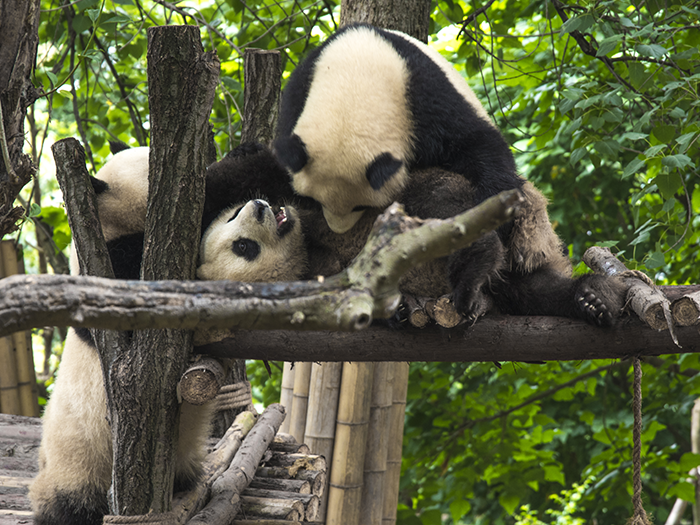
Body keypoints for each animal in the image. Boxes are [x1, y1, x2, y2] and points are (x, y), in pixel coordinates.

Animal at [28, 144, 306, 524]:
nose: (261, 207)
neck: (109, 226)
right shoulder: (116, 267)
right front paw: (251, 164)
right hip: (78, 465)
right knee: (71, 502)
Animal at [270, 24, 628, 326]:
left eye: (359, 207)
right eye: (314, 199)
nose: (339, 227)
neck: (354, 77)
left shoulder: (423, 96)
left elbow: (479, 148)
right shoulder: (299, 94)